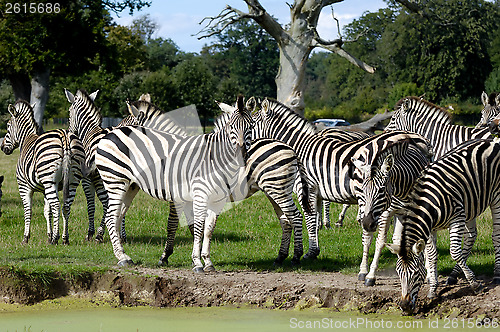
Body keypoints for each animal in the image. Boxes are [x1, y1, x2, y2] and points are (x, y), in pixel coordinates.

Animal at [0, 100, 85, 244]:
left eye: (8, 126)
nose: (2, 148)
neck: (26, 139)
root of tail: (64, 136)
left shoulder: (24, 186)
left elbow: (28, 211)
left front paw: (26, 238)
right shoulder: (45, 189)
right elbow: (47, 211)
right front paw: (49, 236)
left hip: (50, 180)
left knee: (56, 205)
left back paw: (56, 238)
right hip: (72, 181)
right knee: (66, 206)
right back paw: (65, 238)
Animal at [94, 95, 254, 270]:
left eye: (251, 126)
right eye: (231, 126)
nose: (241, 155)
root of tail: (109, 135)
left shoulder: (217, 199)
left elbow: (208, 229)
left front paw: (206, 260)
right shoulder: (192, 195)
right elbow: (193, 226)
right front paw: (195, 261)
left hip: (130, 185)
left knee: (117, 215)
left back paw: (123, 255)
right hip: (116, 180)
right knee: (111, 216)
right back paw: (122, 257)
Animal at [350, 137, 432, 286]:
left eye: (382, 190)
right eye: (364, 190)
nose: (368, 223)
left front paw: (427, 272)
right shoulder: (385, 213)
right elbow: (380, 241)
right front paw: (371, 275)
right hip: (366, 208)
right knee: (367, 237)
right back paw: (363, 271)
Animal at [384, 138, 500, 314]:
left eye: (415, 273)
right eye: (398, 273)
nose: (404, 307)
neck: (430, 202)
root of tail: (490, 140)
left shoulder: (457, 217)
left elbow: (454, 252)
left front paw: (475, 285)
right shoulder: (430, 228)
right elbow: (432, 256)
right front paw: (433, 290)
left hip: (496, 197)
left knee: (496, 235)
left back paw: (497, 275)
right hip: (471, 204)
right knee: (472, 236)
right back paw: (453, 275)